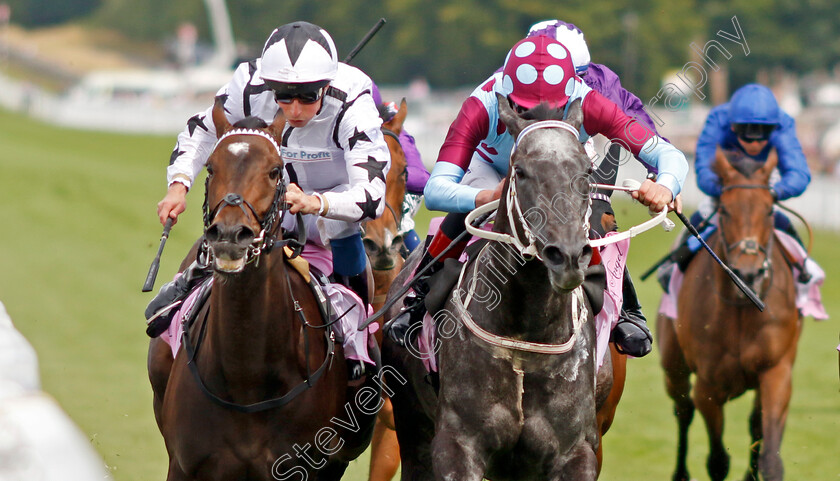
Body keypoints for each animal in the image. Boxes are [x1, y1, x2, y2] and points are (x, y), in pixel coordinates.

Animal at [384, 95, 620, 478]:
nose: (567, 256)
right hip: (412, 428)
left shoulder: (576, 451)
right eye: (520, 171)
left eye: (586, 171)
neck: (526, 333)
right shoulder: (456, 446)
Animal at [656, 148, 800, 478]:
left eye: (769, 211)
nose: (748, 274)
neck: (742, 308)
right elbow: (718, 461)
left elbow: (769, 456)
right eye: (724, 211)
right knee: (683, 411)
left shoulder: (776, 371)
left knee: (754, 425)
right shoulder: (708, 387)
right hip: (673, 365)